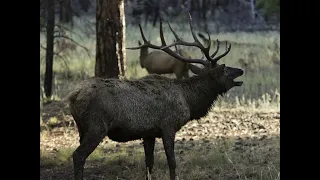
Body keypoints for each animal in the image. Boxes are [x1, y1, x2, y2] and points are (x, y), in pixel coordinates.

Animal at [66, 13, 244, 180]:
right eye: (225, 70)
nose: (240, 70)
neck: (189, 101)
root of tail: (73, 96)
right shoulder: (168, 126)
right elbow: (172, 162)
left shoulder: (149, 133)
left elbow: (149, 164)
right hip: (96, 126)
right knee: (78, 156)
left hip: (82, 128)